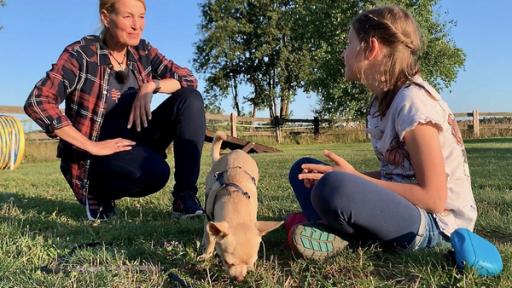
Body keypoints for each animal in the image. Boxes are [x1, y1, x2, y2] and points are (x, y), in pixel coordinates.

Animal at [198, 132, 284, 280]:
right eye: (227, 262)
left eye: (251, 263)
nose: (239, 279)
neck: (235, 200)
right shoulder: (210, 217)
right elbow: (210, 238)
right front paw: (207, 254)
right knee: (206, 227)